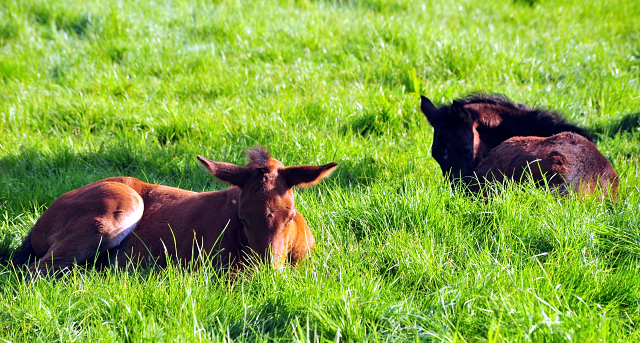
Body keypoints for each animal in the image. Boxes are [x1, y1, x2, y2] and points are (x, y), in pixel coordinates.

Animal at [12, 146, 338, 276]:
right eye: (242, 218)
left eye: (290, 215)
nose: (268, 271)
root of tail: (38, 225)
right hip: (120, 207)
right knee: (33, 271)